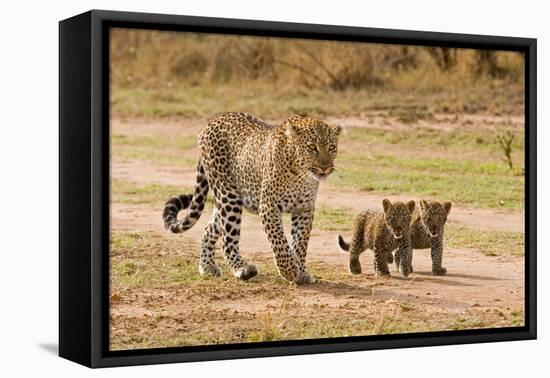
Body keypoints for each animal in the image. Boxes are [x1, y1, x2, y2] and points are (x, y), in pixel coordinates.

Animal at [162, 112, 340, 284]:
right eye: (312, 147)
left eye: (332, 147)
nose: (325, 168)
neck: (300, 174)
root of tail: (211, 122)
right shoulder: (268, 206)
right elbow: (280, 242)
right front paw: (289, 271)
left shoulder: (305, 209)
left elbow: (301, 242)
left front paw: (301, 271)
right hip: (228, 196)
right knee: (227, 241)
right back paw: (242, 269)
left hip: (225, 201)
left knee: (209, 229)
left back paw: (207, 267)